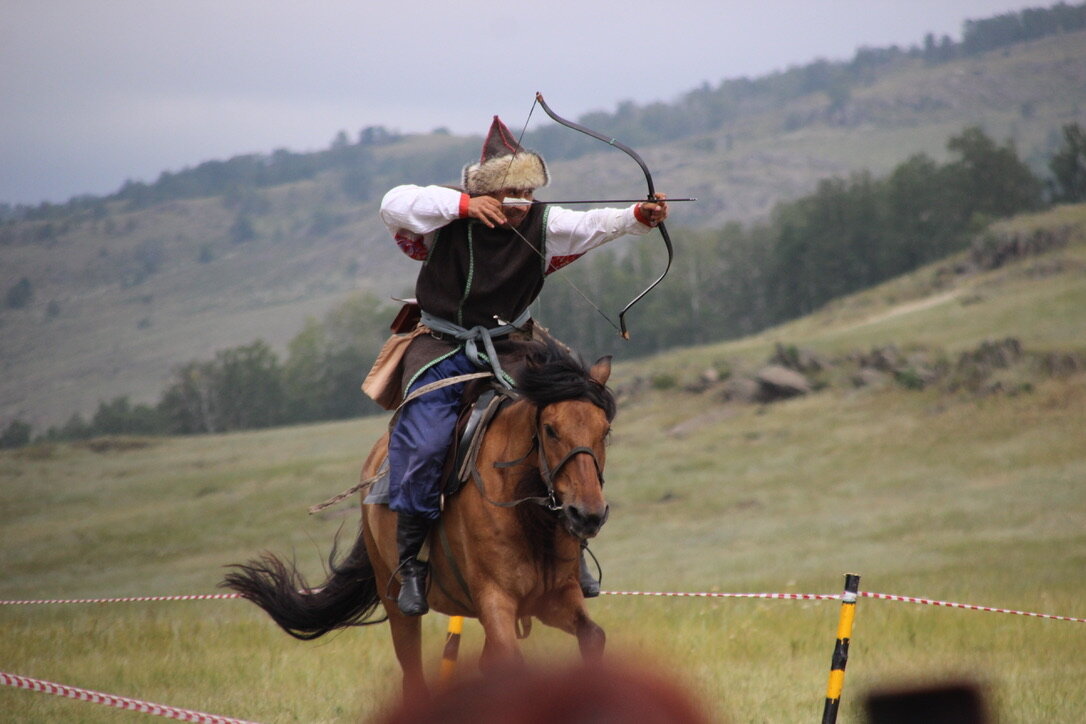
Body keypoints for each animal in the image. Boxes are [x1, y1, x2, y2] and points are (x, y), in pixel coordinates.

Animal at [224, 343, 616, 699]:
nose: (587, 515)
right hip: (397, 603)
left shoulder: (554, 597)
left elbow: (593, 637)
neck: (525, 514)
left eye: (605, 430)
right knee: (412, 672)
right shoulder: (496, 600)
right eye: (550, 429)